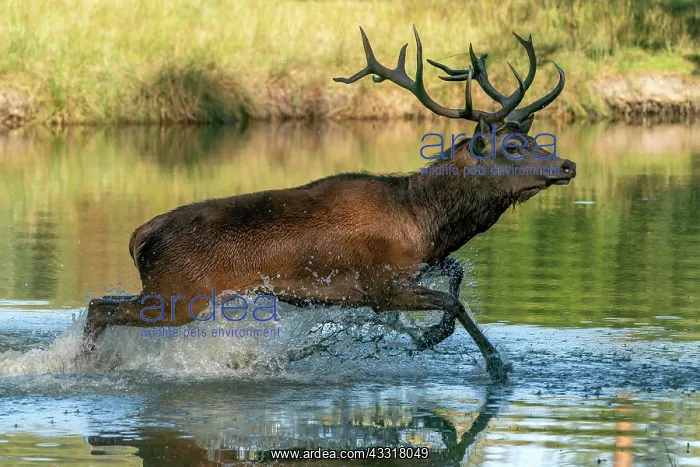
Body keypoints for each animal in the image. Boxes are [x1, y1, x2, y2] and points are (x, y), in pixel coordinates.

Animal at [80, 26, 575, 381]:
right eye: (512, 147)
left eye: (531, 138)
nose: (568, 164)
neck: (423, 221)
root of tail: (140, 234)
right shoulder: (380, 284)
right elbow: (453, 306)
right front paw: (494, 363)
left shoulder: (417, 266)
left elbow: (455, 279)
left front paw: (426, 337)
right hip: (179, 292)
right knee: (99, 307)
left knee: (103, 305)